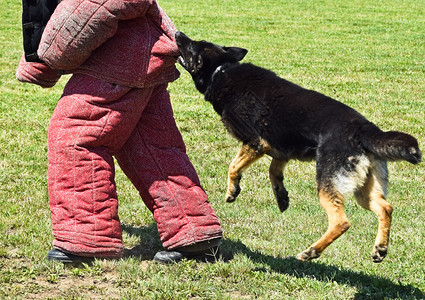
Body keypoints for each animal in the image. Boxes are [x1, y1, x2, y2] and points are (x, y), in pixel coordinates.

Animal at [174, 31, 420, 262]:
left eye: (192, 45)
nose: (178, 33)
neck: (221, 70)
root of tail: (365, 129)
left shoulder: (256, 142)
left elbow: (233, 167)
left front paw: (232, 191)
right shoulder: (281, 149)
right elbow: (273, 171)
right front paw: (281, 196)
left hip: (327, 184)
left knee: (341, 222)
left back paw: (311, 251)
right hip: (363, 190)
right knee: (386, 208)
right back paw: (380, 248)